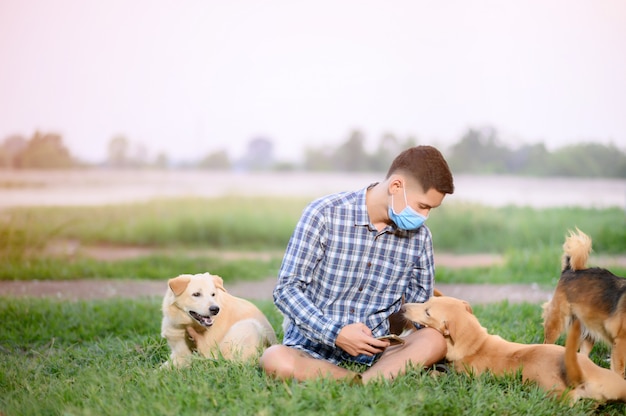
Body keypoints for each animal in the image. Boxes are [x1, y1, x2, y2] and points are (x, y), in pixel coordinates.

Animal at [402, 296, 624, 404]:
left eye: (427, 312)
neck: (475, 341)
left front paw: (430, 375)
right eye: (426, 302)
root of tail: (580, 376)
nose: (403, 307)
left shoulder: (465, 378)